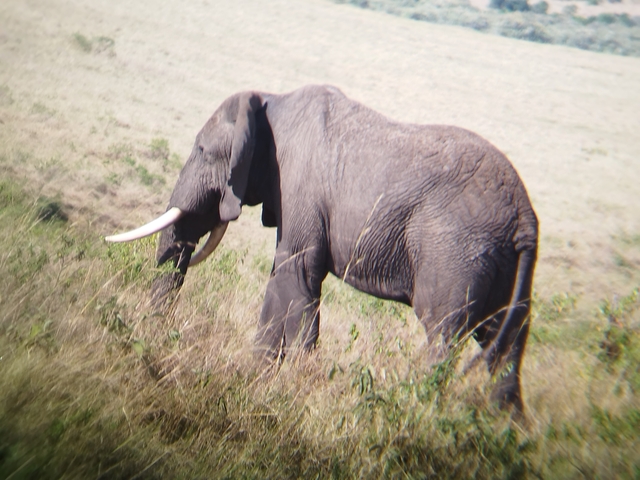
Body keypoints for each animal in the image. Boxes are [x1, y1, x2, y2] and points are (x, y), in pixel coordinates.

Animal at [106, 84, 538, 414]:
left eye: (200, 150)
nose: (151, 339)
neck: (270, 102)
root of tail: (525, 220)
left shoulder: (298, 186)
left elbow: (296, 275)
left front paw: (287, 388)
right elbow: (280, 281)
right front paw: (255, 377)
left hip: (454, 252)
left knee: (443, 335)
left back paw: (419, 411)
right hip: (503, 267)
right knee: (506, 347)